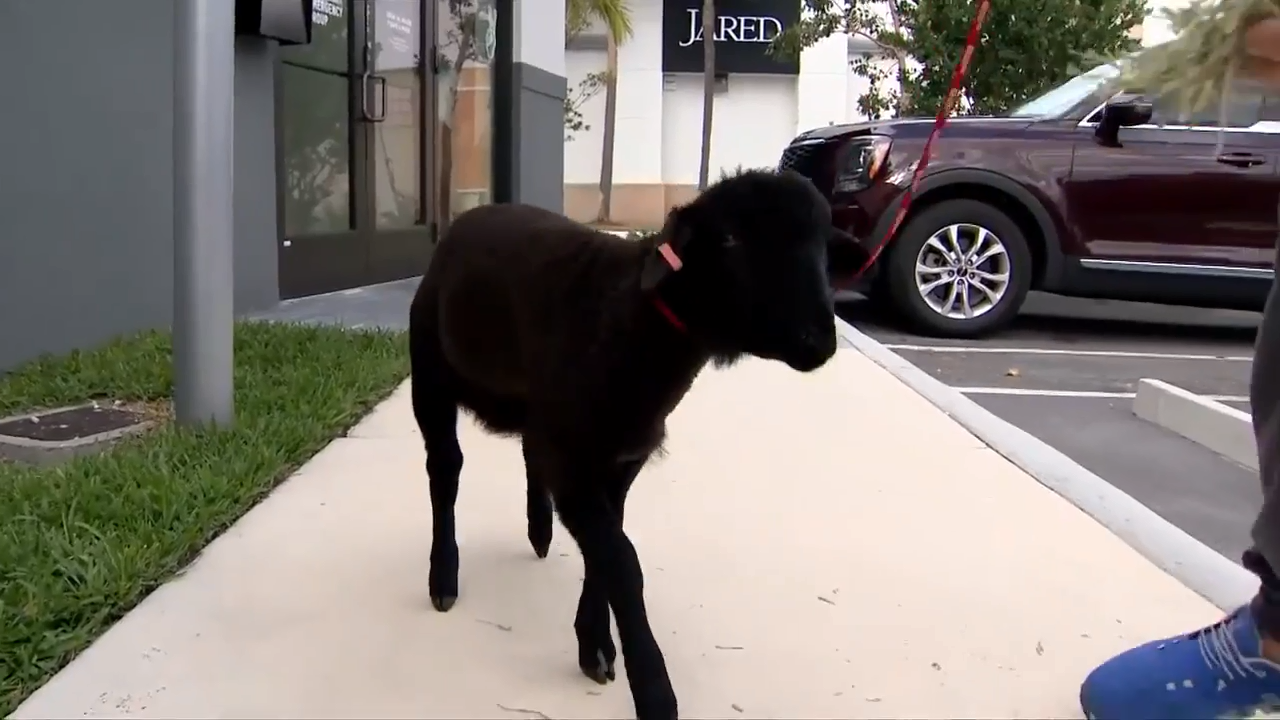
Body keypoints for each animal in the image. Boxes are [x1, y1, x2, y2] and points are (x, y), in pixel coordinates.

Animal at [408, 168, 868, 720]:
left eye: (824, 248)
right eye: (730, 239)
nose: (817, 340)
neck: (636, 325)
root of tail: (472, 217)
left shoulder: (619, 460)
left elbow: (607, 552)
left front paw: (595, 645)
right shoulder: (577, 461)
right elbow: (622, 561)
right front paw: (653, 692)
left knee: (526, 453)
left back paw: (539, 530)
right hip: (431, 379)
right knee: (445, 472)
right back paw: (443, 579)